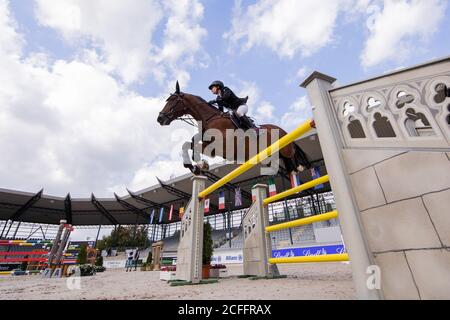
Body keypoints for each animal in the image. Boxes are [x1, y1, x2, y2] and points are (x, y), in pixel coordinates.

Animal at [156, 82, 312, 175]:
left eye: (172, 101)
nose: (160, 118)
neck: (210, 119)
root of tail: (284, 131)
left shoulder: (218, 148)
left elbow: (196, 147)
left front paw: (200, 163)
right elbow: (187, 144)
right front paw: (194, 166)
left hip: (286, 150)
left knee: (293, 159)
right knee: (289, 166)